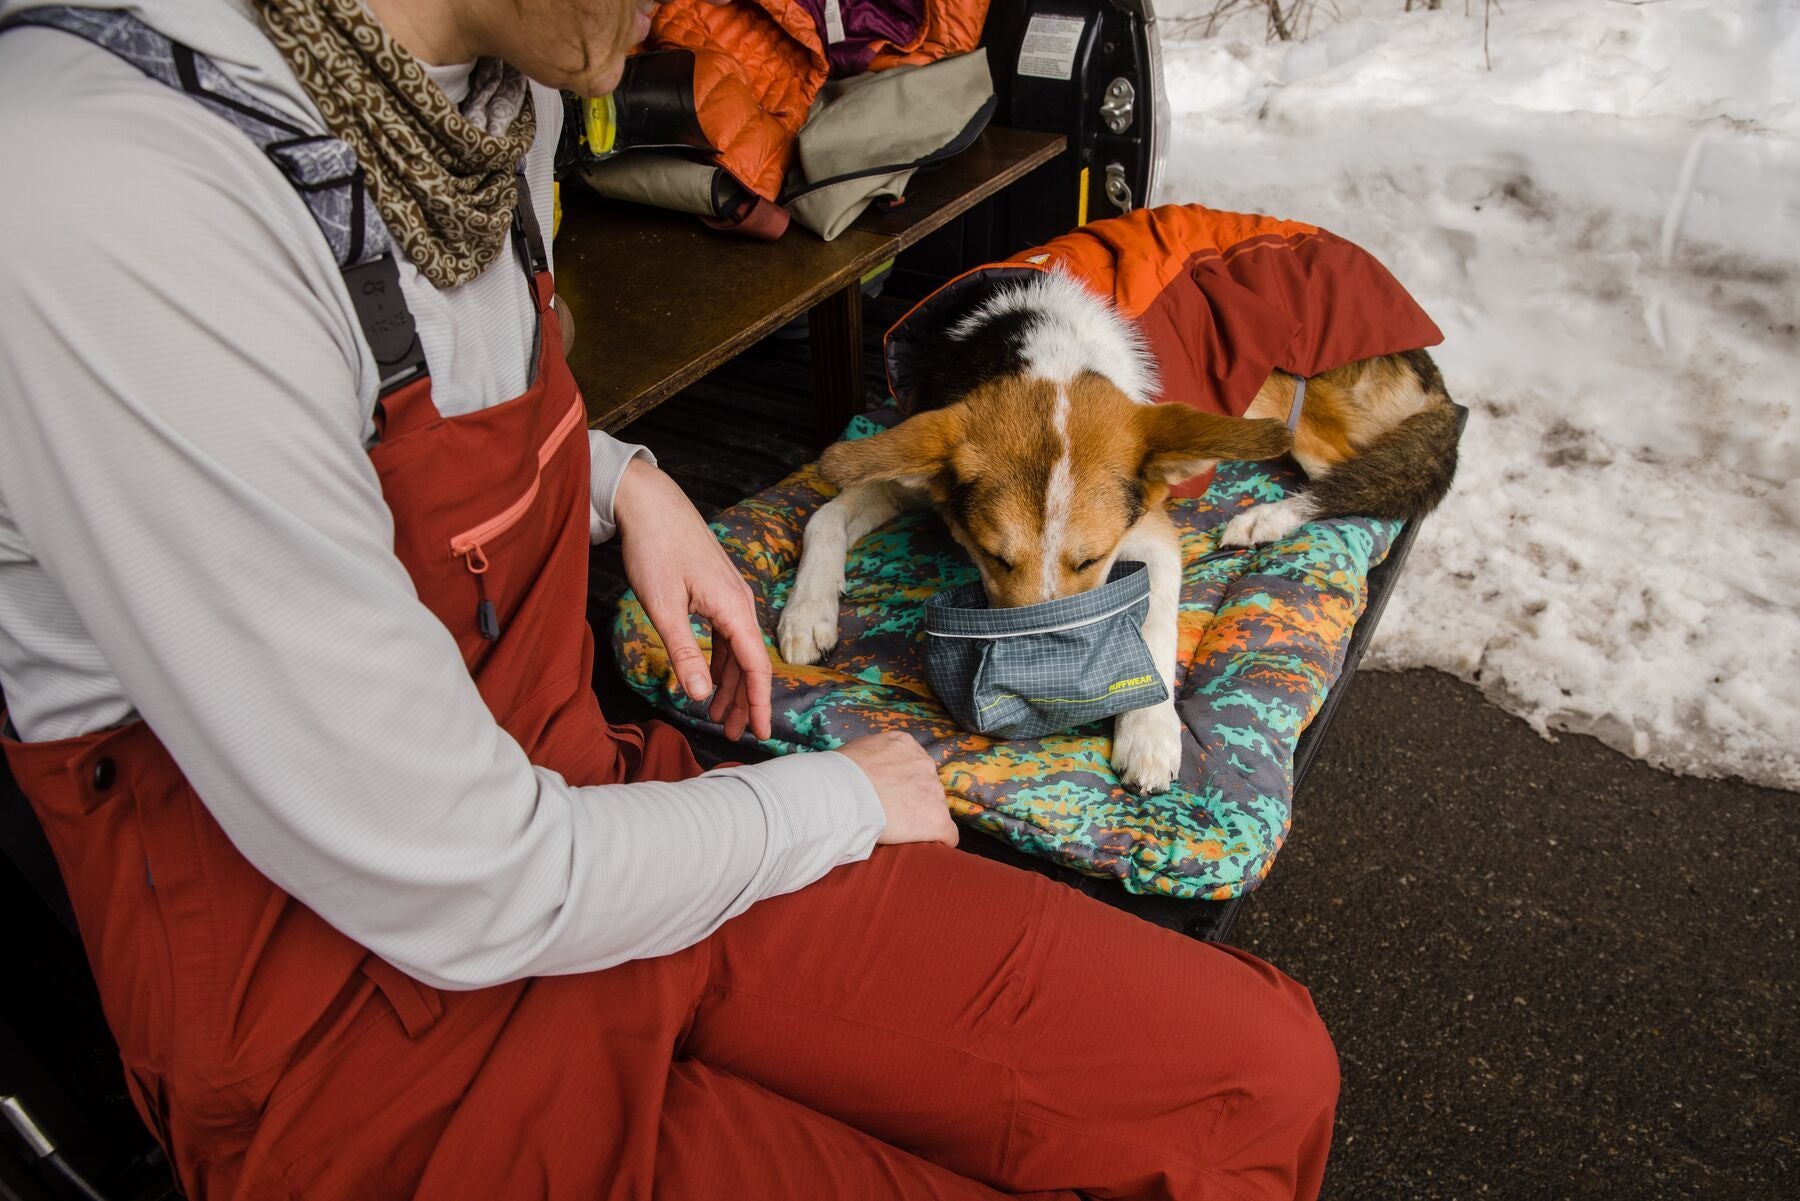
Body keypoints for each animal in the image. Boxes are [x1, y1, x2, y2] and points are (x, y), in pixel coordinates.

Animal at [781, 203, 1454, 792]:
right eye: (994, 558)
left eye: (1090, 561)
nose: (1041, 695)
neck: (1041, 348)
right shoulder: (920, 463)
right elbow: (824, 515)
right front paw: (806, 612)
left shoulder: (1149, 529)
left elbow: (1155, 623)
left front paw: (1150, 734)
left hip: (1302, 417)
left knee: (1370, 484)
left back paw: (1267, 517)